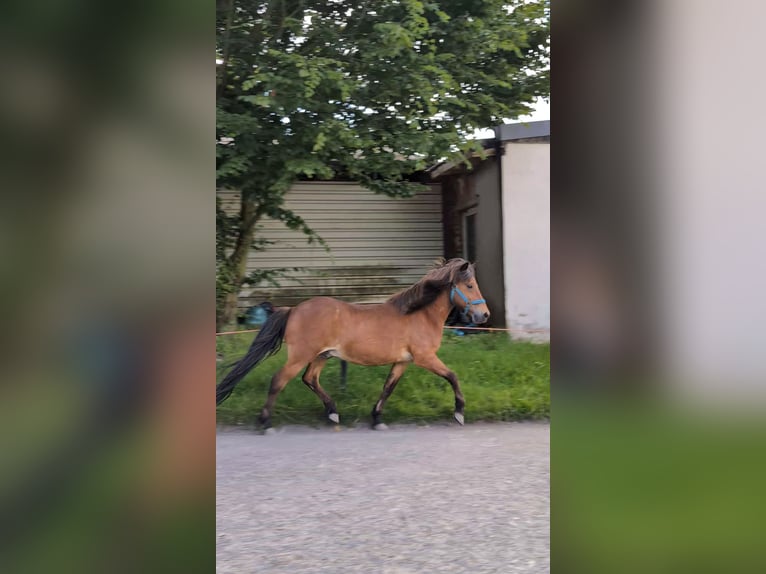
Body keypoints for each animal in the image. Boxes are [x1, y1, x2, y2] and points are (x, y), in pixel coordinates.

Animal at [216, 258, 492, 430]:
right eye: (470, 285)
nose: (484, 316)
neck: (419, 314)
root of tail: (293, 309)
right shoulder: (425, 358)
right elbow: (453, 376)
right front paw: (459, 413)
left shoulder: (402, 361)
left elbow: (388, 388)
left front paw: (377, 419)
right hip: (301, 355)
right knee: (279, 381)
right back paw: (265, 423)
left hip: (322, 355)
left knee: (310, 379)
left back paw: (333, 412)